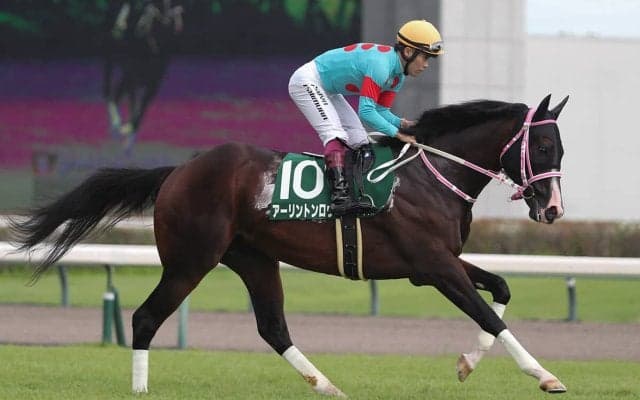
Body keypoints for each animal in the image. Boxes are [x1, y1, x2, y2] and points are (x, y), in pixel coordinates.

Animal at [9, 94, 569, 396]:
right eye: (543, 146)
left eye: (560, 148)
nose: (553, 210)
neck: (429, 175)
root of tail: (179, 170)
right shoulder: (433, 265)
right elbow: (491, 316)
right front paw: (545, 376)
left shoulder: (435, 264)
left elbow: (501, 291)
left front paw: (466, 364)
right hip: (190, 260)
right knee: (146, 318)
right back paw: (141, 389)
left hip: (254, 258)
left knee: (273, 328)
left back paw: (328, 385)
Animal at [102, 0, 183, 149]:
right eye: (147, 11)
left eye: (172, 17)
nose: (139, 28)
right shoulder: (132, 78)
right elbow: (134, 106)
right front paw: (125, 133)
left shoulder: (153, 85)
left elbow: (141, 111)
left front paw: (129, 133)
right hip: (109, 59)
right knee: (108, 91)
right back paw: (116, 126)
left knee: (116, 95)